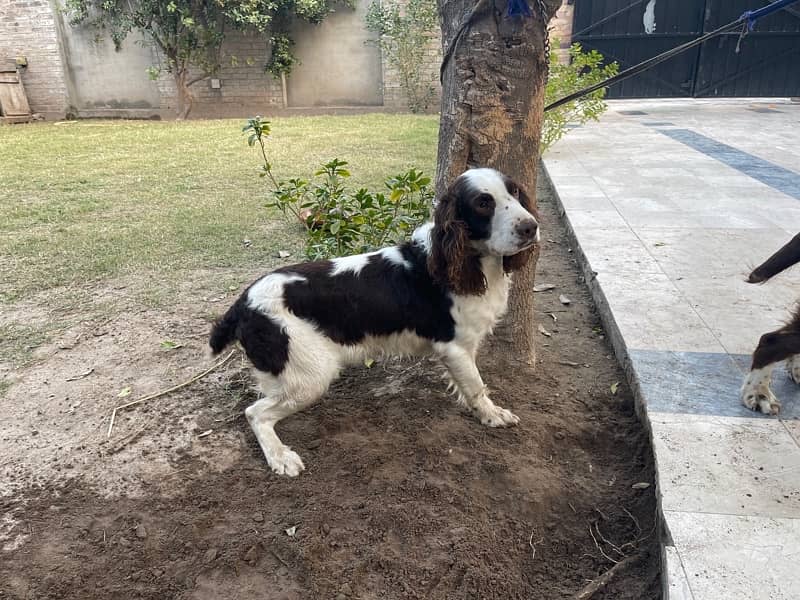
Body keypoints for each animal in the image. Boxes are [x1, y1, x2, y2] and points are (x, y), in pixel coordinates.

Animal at [209, 166, 540, 476]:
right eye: (483, 203)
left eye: (514, 192)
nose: (531, 227)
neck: (464, 262)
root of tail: (243, 303)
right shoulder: (455, 347)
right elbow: (476, 386)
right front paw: (492, 415)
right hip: (311, 376)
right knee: (255, 413)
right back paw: (280, 457)